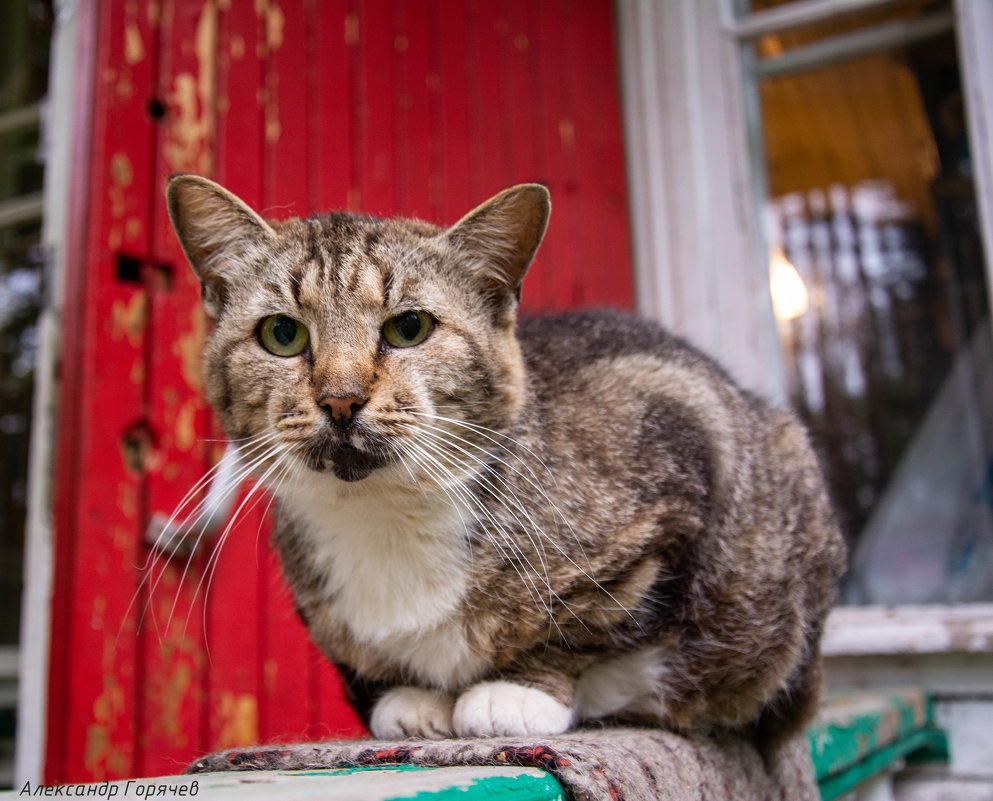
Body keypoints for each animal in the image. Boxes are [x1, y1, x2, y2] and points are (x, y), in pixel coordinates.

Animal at [165, 175, 844, 744]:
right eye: (282, 335)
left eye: (409, 328)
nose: (340, 398)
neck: (382, 514)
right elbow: (368, 669)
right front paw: (408, 699)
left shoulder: (680, 445)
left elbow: (597, 626)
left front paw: (516, 693)